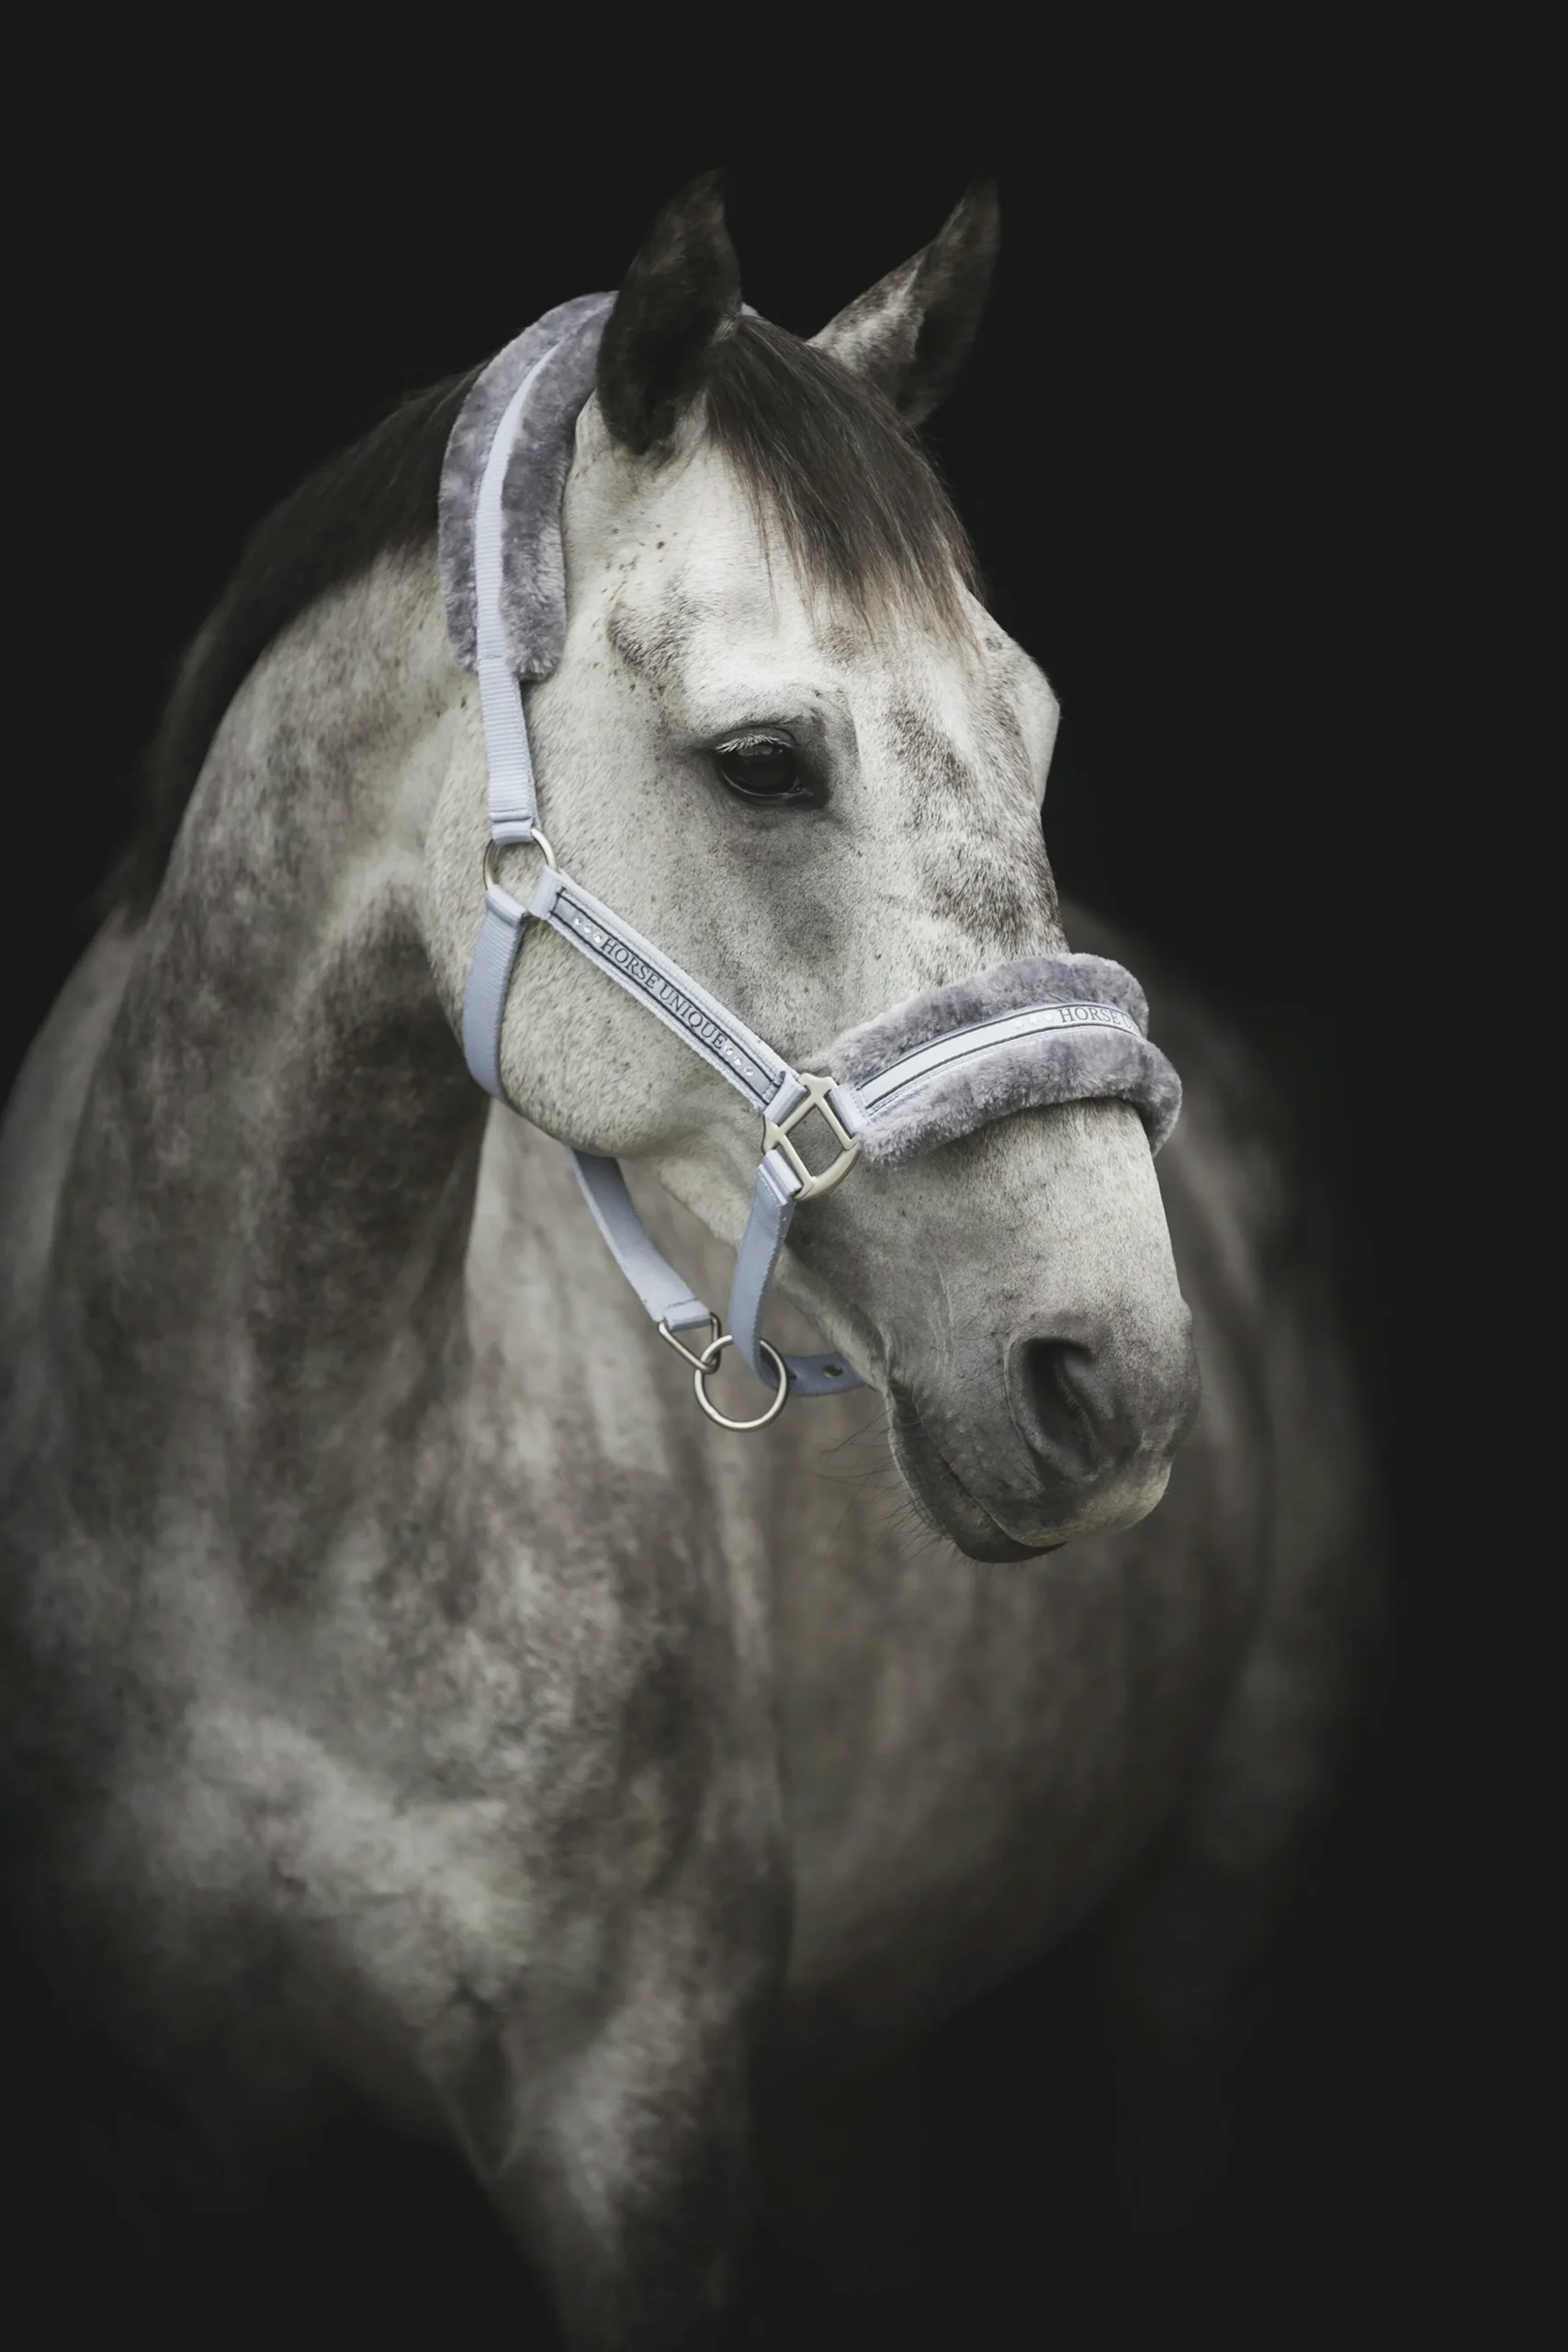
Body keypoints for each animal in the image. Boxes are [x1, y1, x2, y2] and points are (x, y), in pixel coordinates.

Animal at [0, 176, 1378, 2347]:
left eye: (1034, 732)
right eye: (759, 761)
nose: (1115, 1378)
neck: (239, 1521)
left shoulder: (634, 2138)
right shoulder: (159, 2132)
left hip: (1206, 1911)